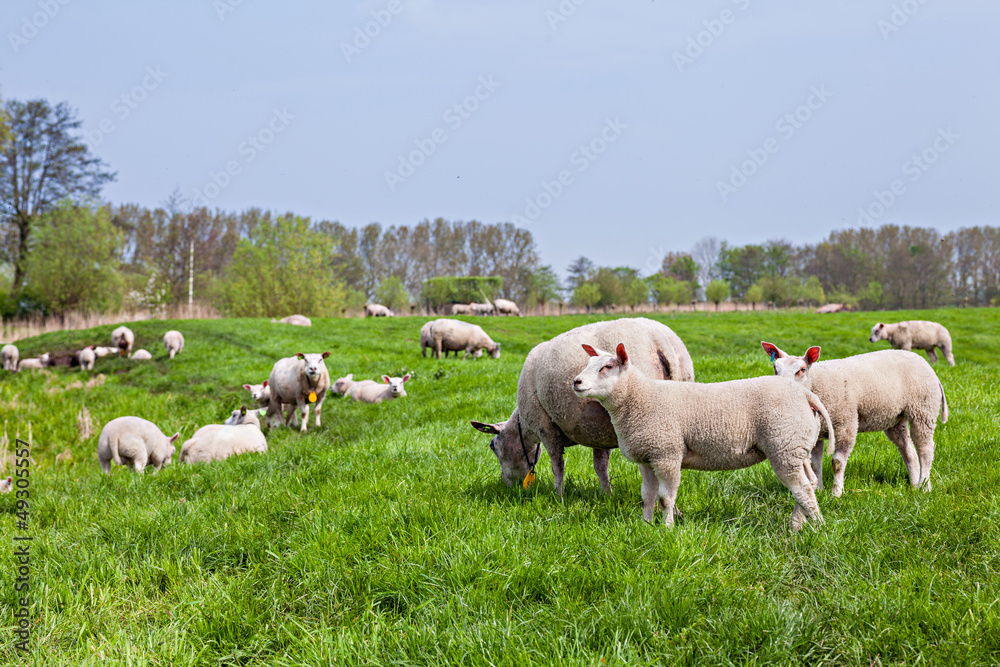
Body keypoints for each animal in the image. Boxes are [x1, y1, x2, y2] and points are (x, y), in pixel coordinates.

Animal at [471, 317, 695, 494]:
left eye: (493, 446)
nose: (507, 485)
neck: (525, 428)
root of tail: (661, 342)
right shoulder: (598, 430)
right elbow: (600, 466)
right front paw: (606, 494)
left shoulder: (546, 427)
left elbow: (557, 466)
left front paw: (558, 495)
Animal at [574, 342, 833, 530]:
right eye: (588, 363)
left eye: (607, 367)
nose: (576, 382)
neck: (638, 398)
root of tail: (805, 395)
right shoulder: (647, 458)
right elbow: (647, 496)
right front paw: (645, 525)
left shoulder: (667, 454)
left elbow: (665, 498)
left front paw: (666, 529)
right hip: (796, 448)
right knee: (809, 483)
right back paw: (797, 525)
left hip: (784, 446)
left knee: (801, 488)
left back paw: (817, 527)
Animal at [761, 342, 948, 496]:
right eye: (775, 368)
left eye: (801, 370)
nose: (779, 389)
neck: (815, 383)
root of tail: (928, 366)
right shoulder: (819, 431)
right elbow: (815, 464)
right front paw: (819, 491)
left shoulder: (846, 422)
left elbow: (837, 461)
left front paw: (836, 493)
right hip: (895, 418)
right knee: (908, 450)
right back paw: (915, 485)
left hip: (923, 409)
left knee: (925, 449)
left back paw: (925, 486)